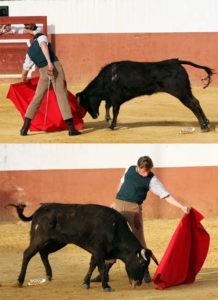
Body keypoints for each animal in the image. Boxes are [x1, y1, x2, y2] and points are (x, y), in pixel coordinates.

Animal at [8, 203, 158, 292]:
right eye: (142, 262)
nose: (137, 283)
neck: (115, 229)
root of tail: (40, 209)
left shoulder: (96, 252)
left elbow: (92, 265)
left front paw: (86, 283)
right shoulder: (99, 250)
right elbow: (101, 267)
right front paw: (106, 286)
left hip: (58, 241)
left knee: (44, 252)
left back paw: (49, 275)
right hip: (39, 239)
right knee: (27, 254)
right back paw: (19, 281)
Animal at [77, 58, 215, 131]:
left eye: (84, 102)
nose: (94, 116)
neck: (108, 78)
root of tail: (175, 61)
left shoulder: (116, 98)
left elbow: (115, 111)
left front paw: (111, 125)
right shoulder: (110, 98)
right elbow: (107, 106)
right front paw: (108, 120)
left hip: (180, 92)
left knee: (192, 104)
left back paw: (203, 126)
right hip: (186, 90)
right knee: (196, 102)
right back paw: (207, 122)